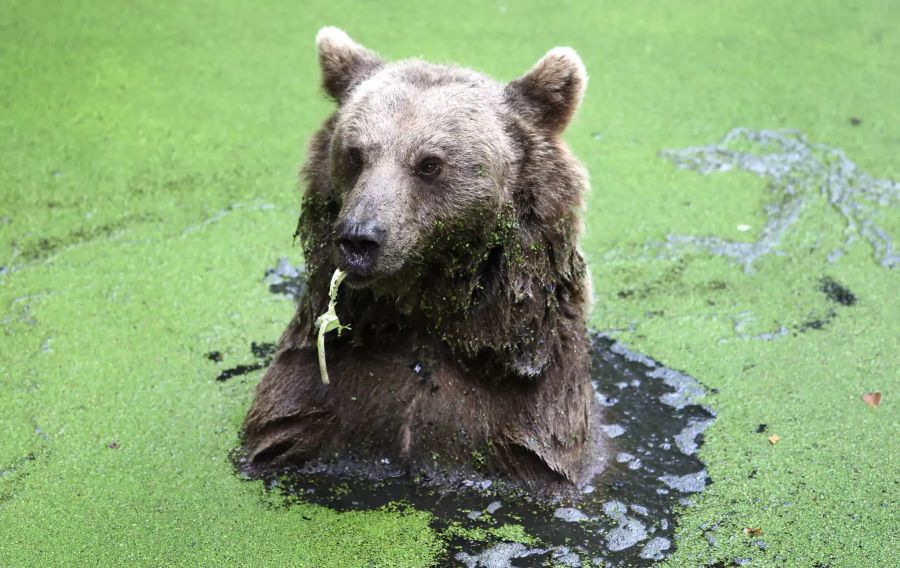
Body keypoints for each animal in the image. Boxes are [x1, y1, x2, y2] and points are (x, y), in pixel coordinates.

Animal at [243, 27, 600, 484]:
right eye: (355, 154)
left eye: (429, 164)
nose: (358, 238)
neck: (421, 311)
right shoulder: (310, 397)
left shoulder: (530, 415)